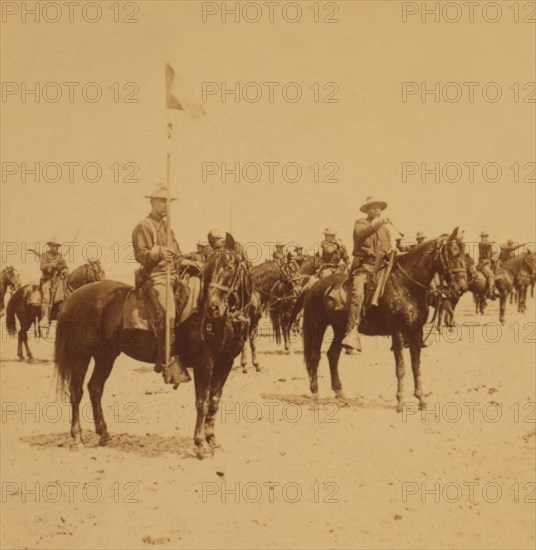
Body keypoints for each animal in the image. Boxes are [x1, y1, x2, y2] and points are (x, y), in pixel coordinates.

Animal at [54, 237, 251, 462]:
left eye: (229, 268)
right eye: (211, 268)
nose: (213, 307)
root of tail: (71, 298)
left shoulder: (225, 362)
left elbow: (214, 401)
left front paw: (212, 440)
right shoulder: (204, 363)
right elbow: (201, 402)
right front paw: (201, 444)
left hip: (105, 355)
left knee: (94, 388)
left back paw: (103, 434)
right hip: (81, 355)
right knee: (76, 392)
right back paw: (77, 438)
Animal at [304, 229, 466, 414]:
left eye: (465, 254)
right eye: (453, 254)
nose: (462, 287)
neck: (406, 285)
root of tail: (316, 286)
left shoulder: (416, 331)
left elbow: (416, 365)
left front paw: (421, 398)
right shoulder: (398, 332)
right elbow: (401, 368)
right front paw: (400, 401)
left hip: (340, 329)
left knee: (332, 355)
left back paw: (339, 391)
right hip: (317, 326)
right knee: (315, 357)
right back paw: (315, 393)